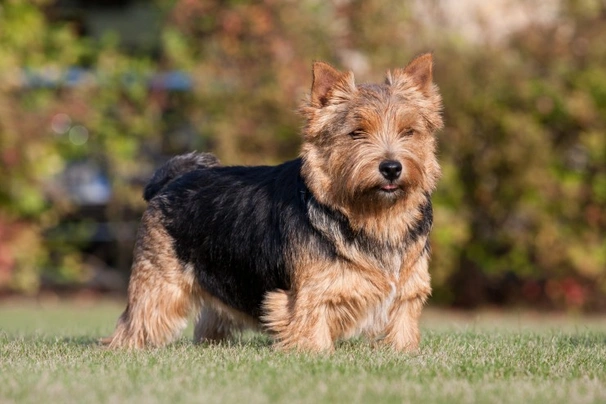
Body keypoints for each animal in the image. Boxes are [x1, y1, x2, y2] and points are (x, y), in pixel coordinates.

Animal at [104, 52, 444, 350]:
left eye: (408, 131)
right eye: (356, 133)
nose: (391, 167)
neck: (375, 217)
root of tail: (171, 179)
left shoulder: (408, 291)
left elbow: (402, 329)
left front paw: (404, 352)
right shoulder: (309, 295)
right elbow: (313, 334)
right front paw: (316, 355)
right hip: (159, 284)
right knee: (138, 319)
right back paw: (125, 348)